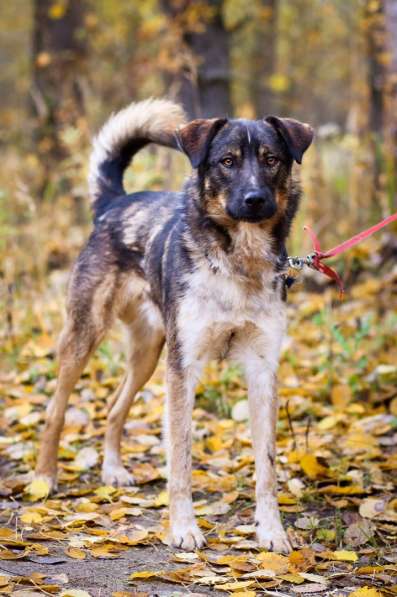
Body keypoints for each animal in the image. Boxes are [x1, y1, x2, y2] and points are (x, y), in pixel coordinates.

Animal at [34, 96, 312, 548]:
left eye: (271, 159)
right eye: (227, 161)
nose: (255, 199)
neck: (239, 262)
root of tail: (114, 203)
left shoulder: (262, 370)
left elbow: (267, 467)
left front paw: (271, 532)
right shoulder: (183, 369)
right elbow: (179, 458)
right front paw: (183, 529)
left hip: (149, 352)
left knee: (114, 407)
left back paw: (112, 470)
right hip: (85, 335)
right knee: (56, 409)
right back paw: (44, 477)